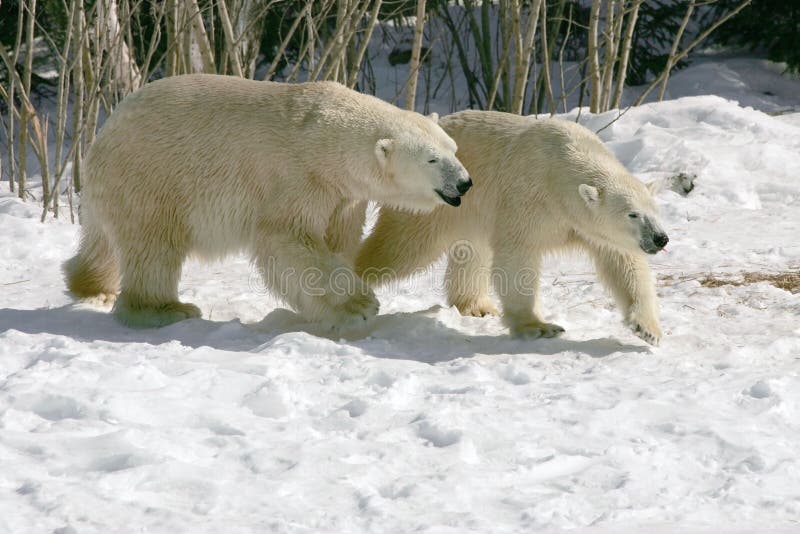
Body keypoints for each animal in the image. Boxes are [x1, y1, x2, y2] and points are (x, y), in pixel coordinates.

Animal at [67, 75, 476, 330]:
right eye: (432, 160)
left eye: (453, 148)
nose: (465, 182)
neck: (327, 135)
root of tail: (103, 133)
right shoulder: (299, 176)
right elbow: (288, 239)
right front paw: (357, 307)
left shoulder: (342, 196)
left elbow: (337, 240)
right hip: (152, 176)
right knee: (153, 246)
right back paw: (167, 309)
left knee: (105, 242)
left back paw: (90, 284)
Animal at [356, 113, 668, 348]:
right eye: (632, 214)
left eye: (654, 210)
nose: (660, 239)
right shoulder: (529, 197)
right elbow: (518, 256)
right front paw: (539, 326)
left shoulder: (590, 228)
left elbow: (623, 262)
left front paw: (647, 329)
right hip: (430, 205)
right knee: (401, 248)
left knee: (472, 252)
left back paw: (477, 306)